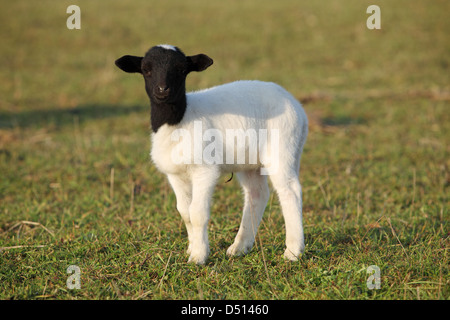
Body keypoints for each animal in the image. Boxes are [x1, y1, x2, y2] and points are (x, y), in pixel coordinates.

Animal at [114, 45, 308, 264]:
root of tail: (297, 107)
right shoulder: (175, 175)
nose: (163, 90)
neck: (179, 120)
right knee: (257, 194)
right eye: (146, 70)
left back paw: (292, 252)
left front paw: (198, 256)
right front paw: (191, 249)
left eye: (181, 70)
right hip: (249, 161)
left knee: (290, 192)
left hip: (283, 148)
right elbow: (185, 212)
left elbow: (197, 213)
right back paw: (239, 247)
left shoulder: (204, 170)